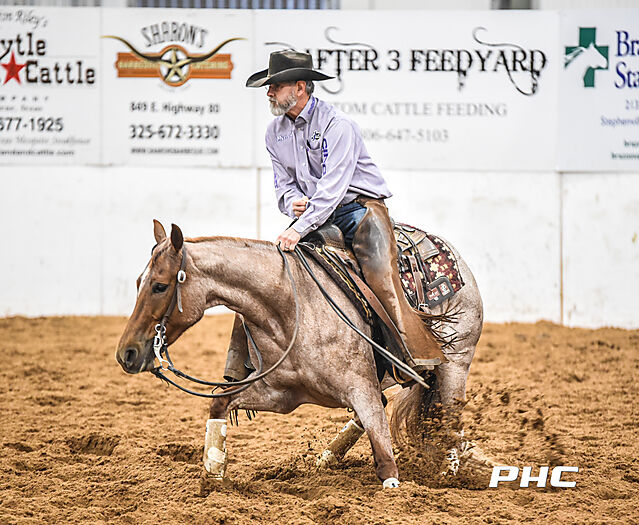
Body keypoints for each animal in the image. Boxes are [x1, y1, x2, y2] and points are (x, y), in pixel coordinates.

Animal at [116, 220, 484, 488]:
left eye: (160, 285)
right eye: (137, 282)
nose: (127, 353)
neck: (291, 309)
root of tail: (457, 257)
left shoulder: (361, 388)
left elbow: (385, 460)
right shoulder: (280, 394)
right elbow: (220, 402)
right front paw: (213, 472)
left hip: (454, 364)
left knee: (450, 419)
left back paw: (448, 476)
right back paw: (325, 459)